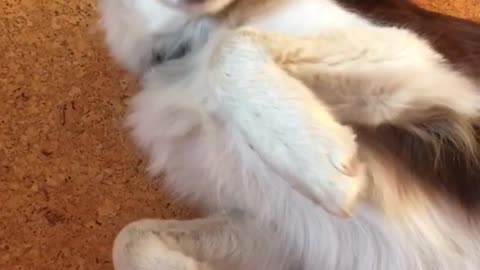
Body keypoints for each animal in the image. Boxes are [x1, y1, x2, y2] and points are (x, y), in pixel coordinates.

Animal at [99, 0, 480, 268]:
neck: (194, 34)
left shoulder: (419, 56)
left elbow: (228, 49)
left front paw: (316, 161)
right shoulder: (283, 233)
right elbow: (129, 238)